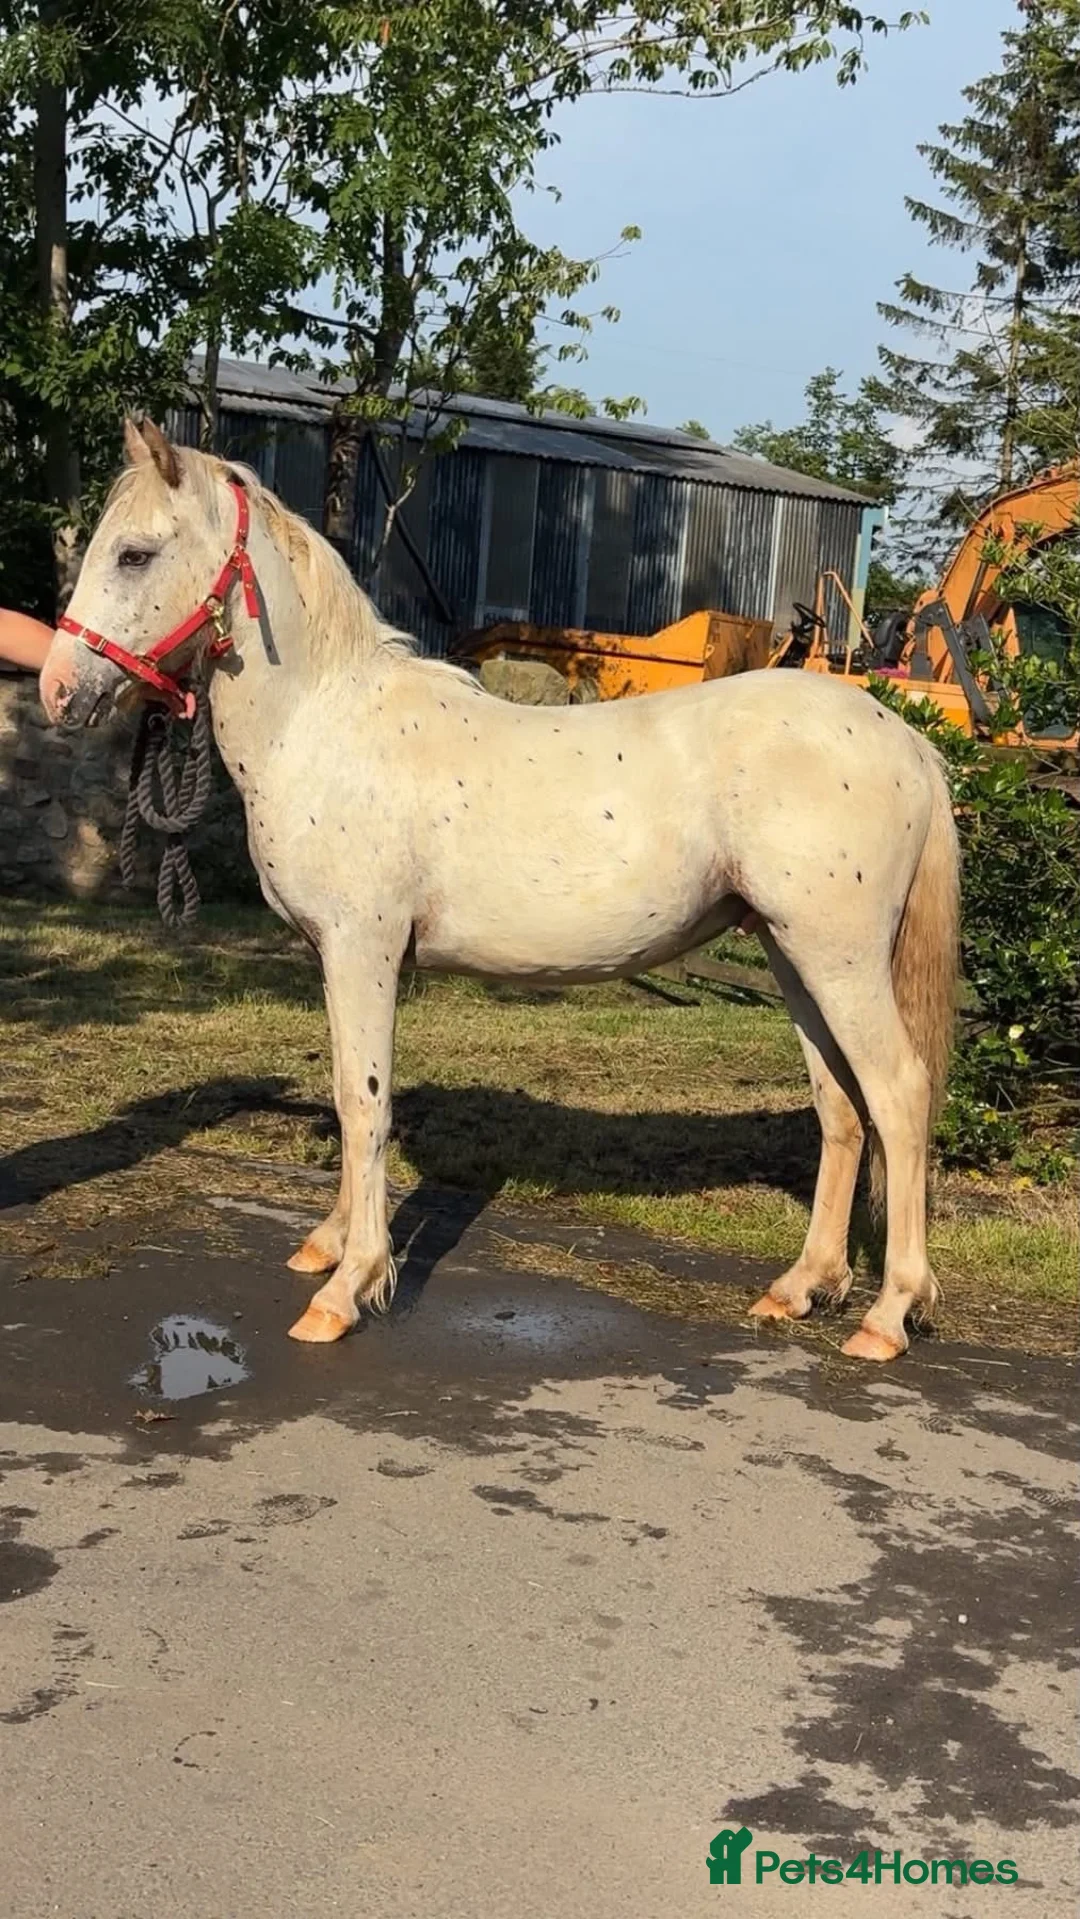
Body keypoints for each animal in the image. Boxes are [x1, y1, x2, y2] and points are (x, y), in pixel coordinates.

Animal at [40, 420, 960, 1362]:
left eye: (136, 553)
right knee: (840, 1106)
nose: (58, 689)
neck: (326, 722)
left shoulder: (363, 949)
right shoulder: (334, 955)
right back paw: (803, 1287)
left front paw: (348, 1287)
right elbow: (349, 1093)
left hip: (838, 958)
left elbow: (364, 1103)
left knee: (898, 1094)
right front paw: (328, 1244)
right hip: (791, 952)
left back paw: (889, 1314)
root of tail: (907, 743)